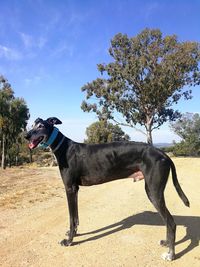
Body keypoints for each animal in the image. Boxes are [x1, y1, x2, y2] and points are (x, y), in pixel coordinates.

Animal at [25, 117, 190, 262]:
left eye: (40, 126)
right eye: (32, 124)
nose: (26, 135)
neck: (64, 148)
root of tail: (163, 154)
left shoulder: (69, 188)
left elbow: (71, 218)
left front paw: (69, 240)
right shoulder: (75, 189)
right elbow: (76, 217)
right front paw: (74, 234)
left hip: (153, 192)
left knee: (171, 223)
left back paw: (170, 254)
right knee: (168, 222)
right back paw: (167, 243)